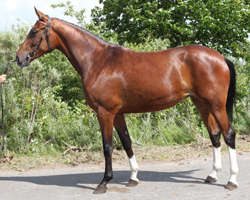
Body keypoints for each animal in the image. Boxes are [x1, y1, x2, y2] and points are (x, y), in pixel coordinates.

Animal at [15, 8, 238, 194]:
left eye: (34, 32)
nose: (19, 58)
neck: (98, 61)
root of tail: (220, 57)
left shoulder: (105, 112)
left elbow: (107, 146)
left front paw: (104, 182)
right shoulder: (118, 114)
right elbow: (127, 142)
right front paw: (133, 177)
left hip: (216, 105)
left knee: (228, 134)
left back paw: (232, 180)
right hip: (202, 104)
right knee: (215, 135)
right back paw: (212, 175)